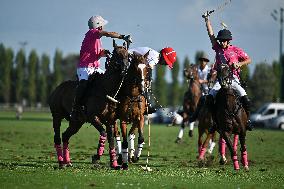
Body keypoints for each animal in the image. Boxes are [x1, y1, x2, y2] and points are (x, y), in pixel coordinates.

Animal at [48, 40, 129, 168]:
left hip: (76, 122)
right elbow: (103, 133)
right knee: (57, 137)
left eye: (128, 55)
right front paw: (96, 157)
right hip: (57, 116)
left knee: (65, 135)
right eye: (117, 54)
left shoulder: (110, 120)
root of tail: (56, 89)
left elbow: (111, 139)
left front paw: (114, 164)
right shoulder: (92, 117)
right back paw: (61, 162)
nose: (125, 69)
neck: (105, 88)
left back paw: (68, 162)